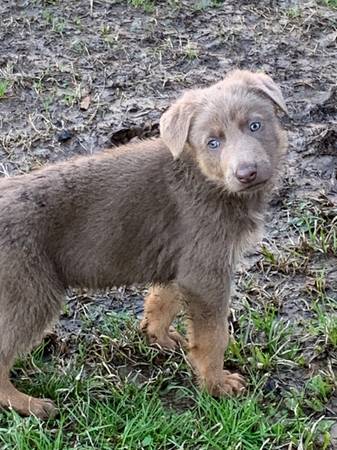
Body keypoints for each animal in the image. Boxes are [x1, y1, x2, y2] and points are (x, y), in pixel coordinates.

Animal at [0, 70, 288, 418]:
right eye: (213, 143)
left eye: (255, 125)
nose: (247, 173)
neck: (201, 175)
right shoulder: (205, 271)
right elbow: (213, 337)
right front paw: (217, 385)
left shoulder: (180, 261)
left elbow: (163, 301)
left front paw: (157, 337)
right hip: (30, 293)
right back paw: (26, 403)